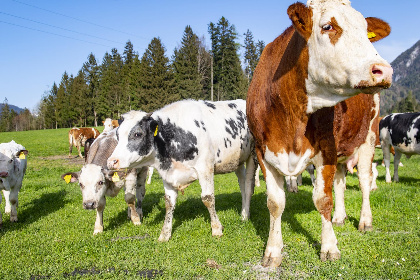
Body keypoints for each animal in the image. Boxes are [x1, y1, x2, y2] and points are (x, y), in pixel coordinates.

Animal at [106, 99, 258, 242]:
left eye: (138, 134)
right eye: (117, 135)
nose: (111, 161)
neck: (175, 135)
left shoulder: (205, 168)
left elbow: (208, 198)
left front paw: (216, 229)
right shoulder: (167, 174)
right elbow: (169, 203)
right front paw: (165, 234)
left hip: (252, 156)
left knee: (248, 186)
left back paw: (245, 215)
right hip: (237, 161)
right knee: (242, 185)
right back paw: (244, 212)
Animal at [244, 0, 392, 266]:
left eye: (366, 30)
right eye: (328, 26)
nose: (384, 70)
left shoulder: (327, 149)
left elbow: (323, 200)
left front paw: (329, 246)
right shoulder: (263, 152)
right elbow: (275, 203)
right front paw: (272, 250)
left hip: (368, 137)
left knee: (364, 181)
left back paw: (365, 220)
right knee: (341, 182)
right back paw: (340, 217)